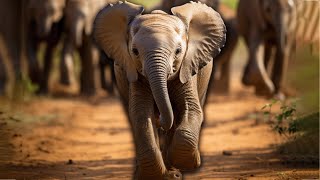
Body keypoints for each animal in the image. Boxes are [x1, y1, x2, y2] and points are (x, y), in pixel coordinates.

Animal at [94, 1, 226, 179]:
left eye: (178, 51)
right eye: (135, 51)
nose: (162, 121)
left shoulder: (187, 67)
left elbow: (191, 108)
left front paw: (190, 163)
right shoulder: (135, 74)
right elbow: (141, 114)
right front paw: (151, 174)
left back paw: (173, 171)